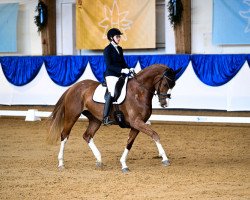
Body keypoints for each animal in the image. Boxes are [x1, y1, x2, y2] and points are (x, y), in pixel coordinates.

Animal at [47, 65, 180, 173]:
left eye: (173, 85)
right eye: (165, 84)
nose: (164, 104)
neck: (139, 91)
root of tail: (73, 87)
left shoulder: (137, 125)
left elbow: (129, 143)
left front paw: (123, 164)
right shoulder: (137, 122)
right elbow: (154, 134)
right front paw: (165, 158)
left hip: (95, 119)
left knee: (87, 136)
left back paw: (99, 160)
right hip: (72, 116)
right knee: (64, 135)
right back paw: (61, 163)